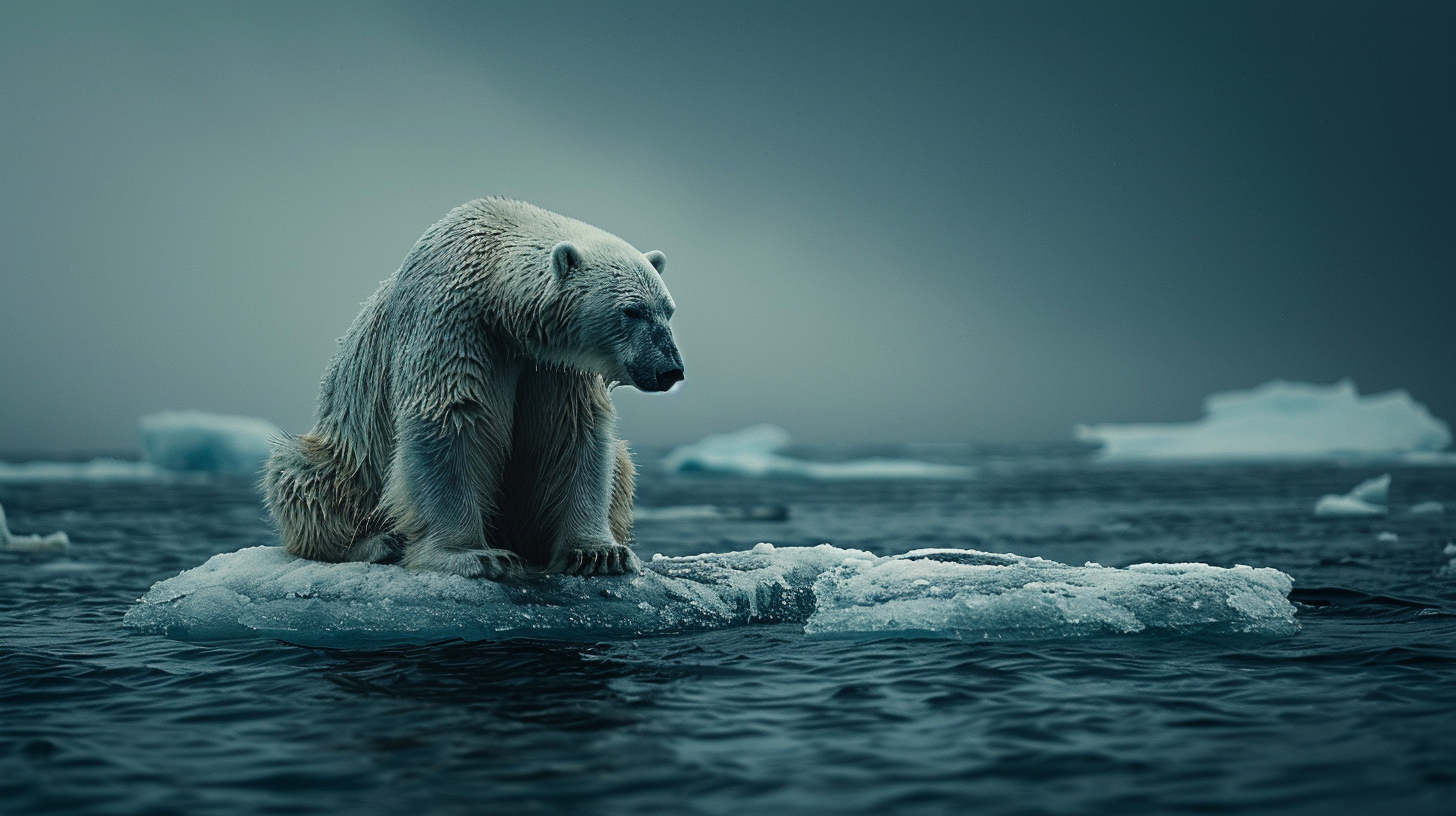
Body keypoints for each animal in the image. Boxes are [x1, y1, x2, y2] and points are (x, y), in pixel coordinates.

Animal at [262, 198, 683, 579]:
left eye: (668, 309)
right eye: (632, 311)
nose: (670, 370)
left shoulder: (554, 364)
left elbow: (573, 433)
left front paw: (598, 554)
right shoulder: (453, 322)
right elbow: (450, 420)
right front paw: (477, 556)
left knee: (623, 465)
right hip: (348, 457)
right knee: (305, 476)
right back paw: (378, 543)